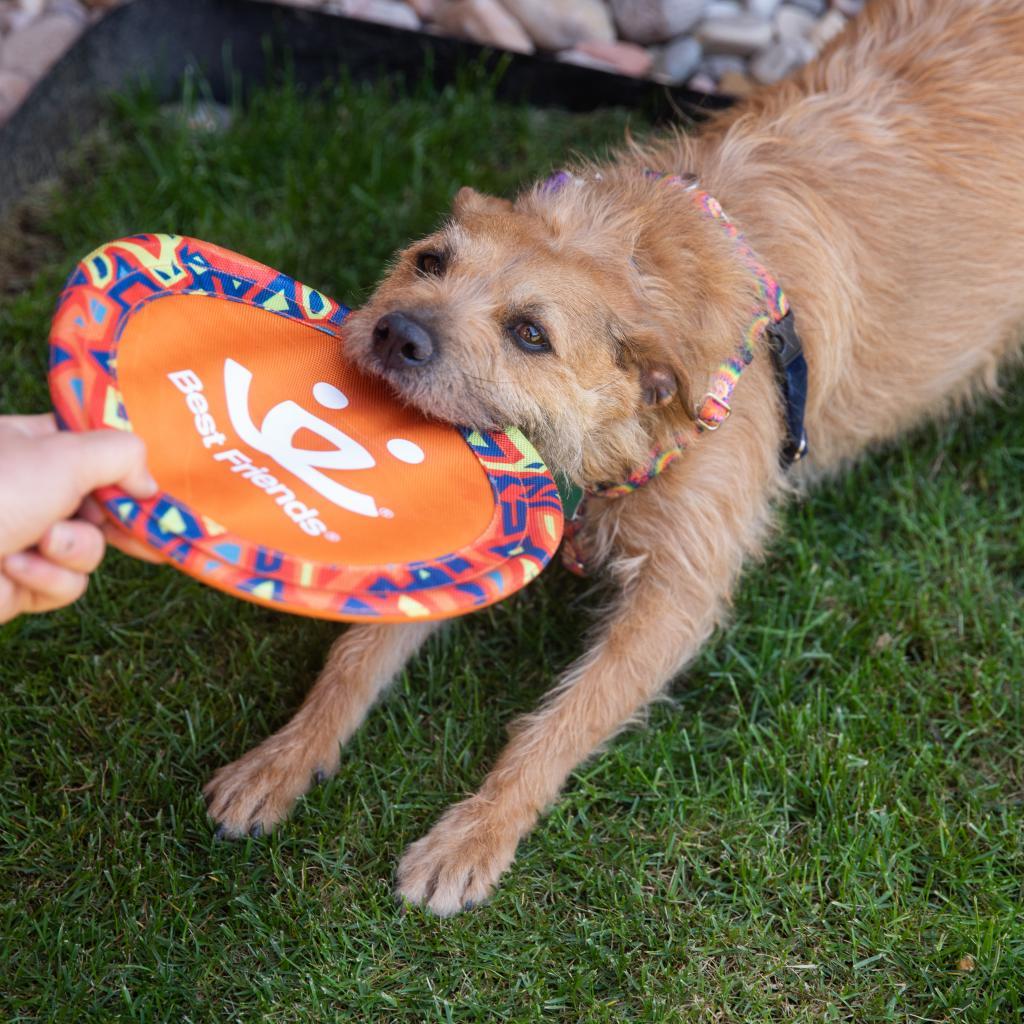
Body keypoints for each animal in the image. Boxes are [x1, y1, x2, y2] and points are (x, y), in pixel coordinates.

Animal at [203, 0, 1024, 913]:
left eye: (531, 333)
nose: (395, 332)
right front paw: (284, 756)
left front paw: (477, 832)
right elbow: (355, 656)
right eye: (430, 259)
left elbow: (562, 722)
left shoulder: (678, 593)